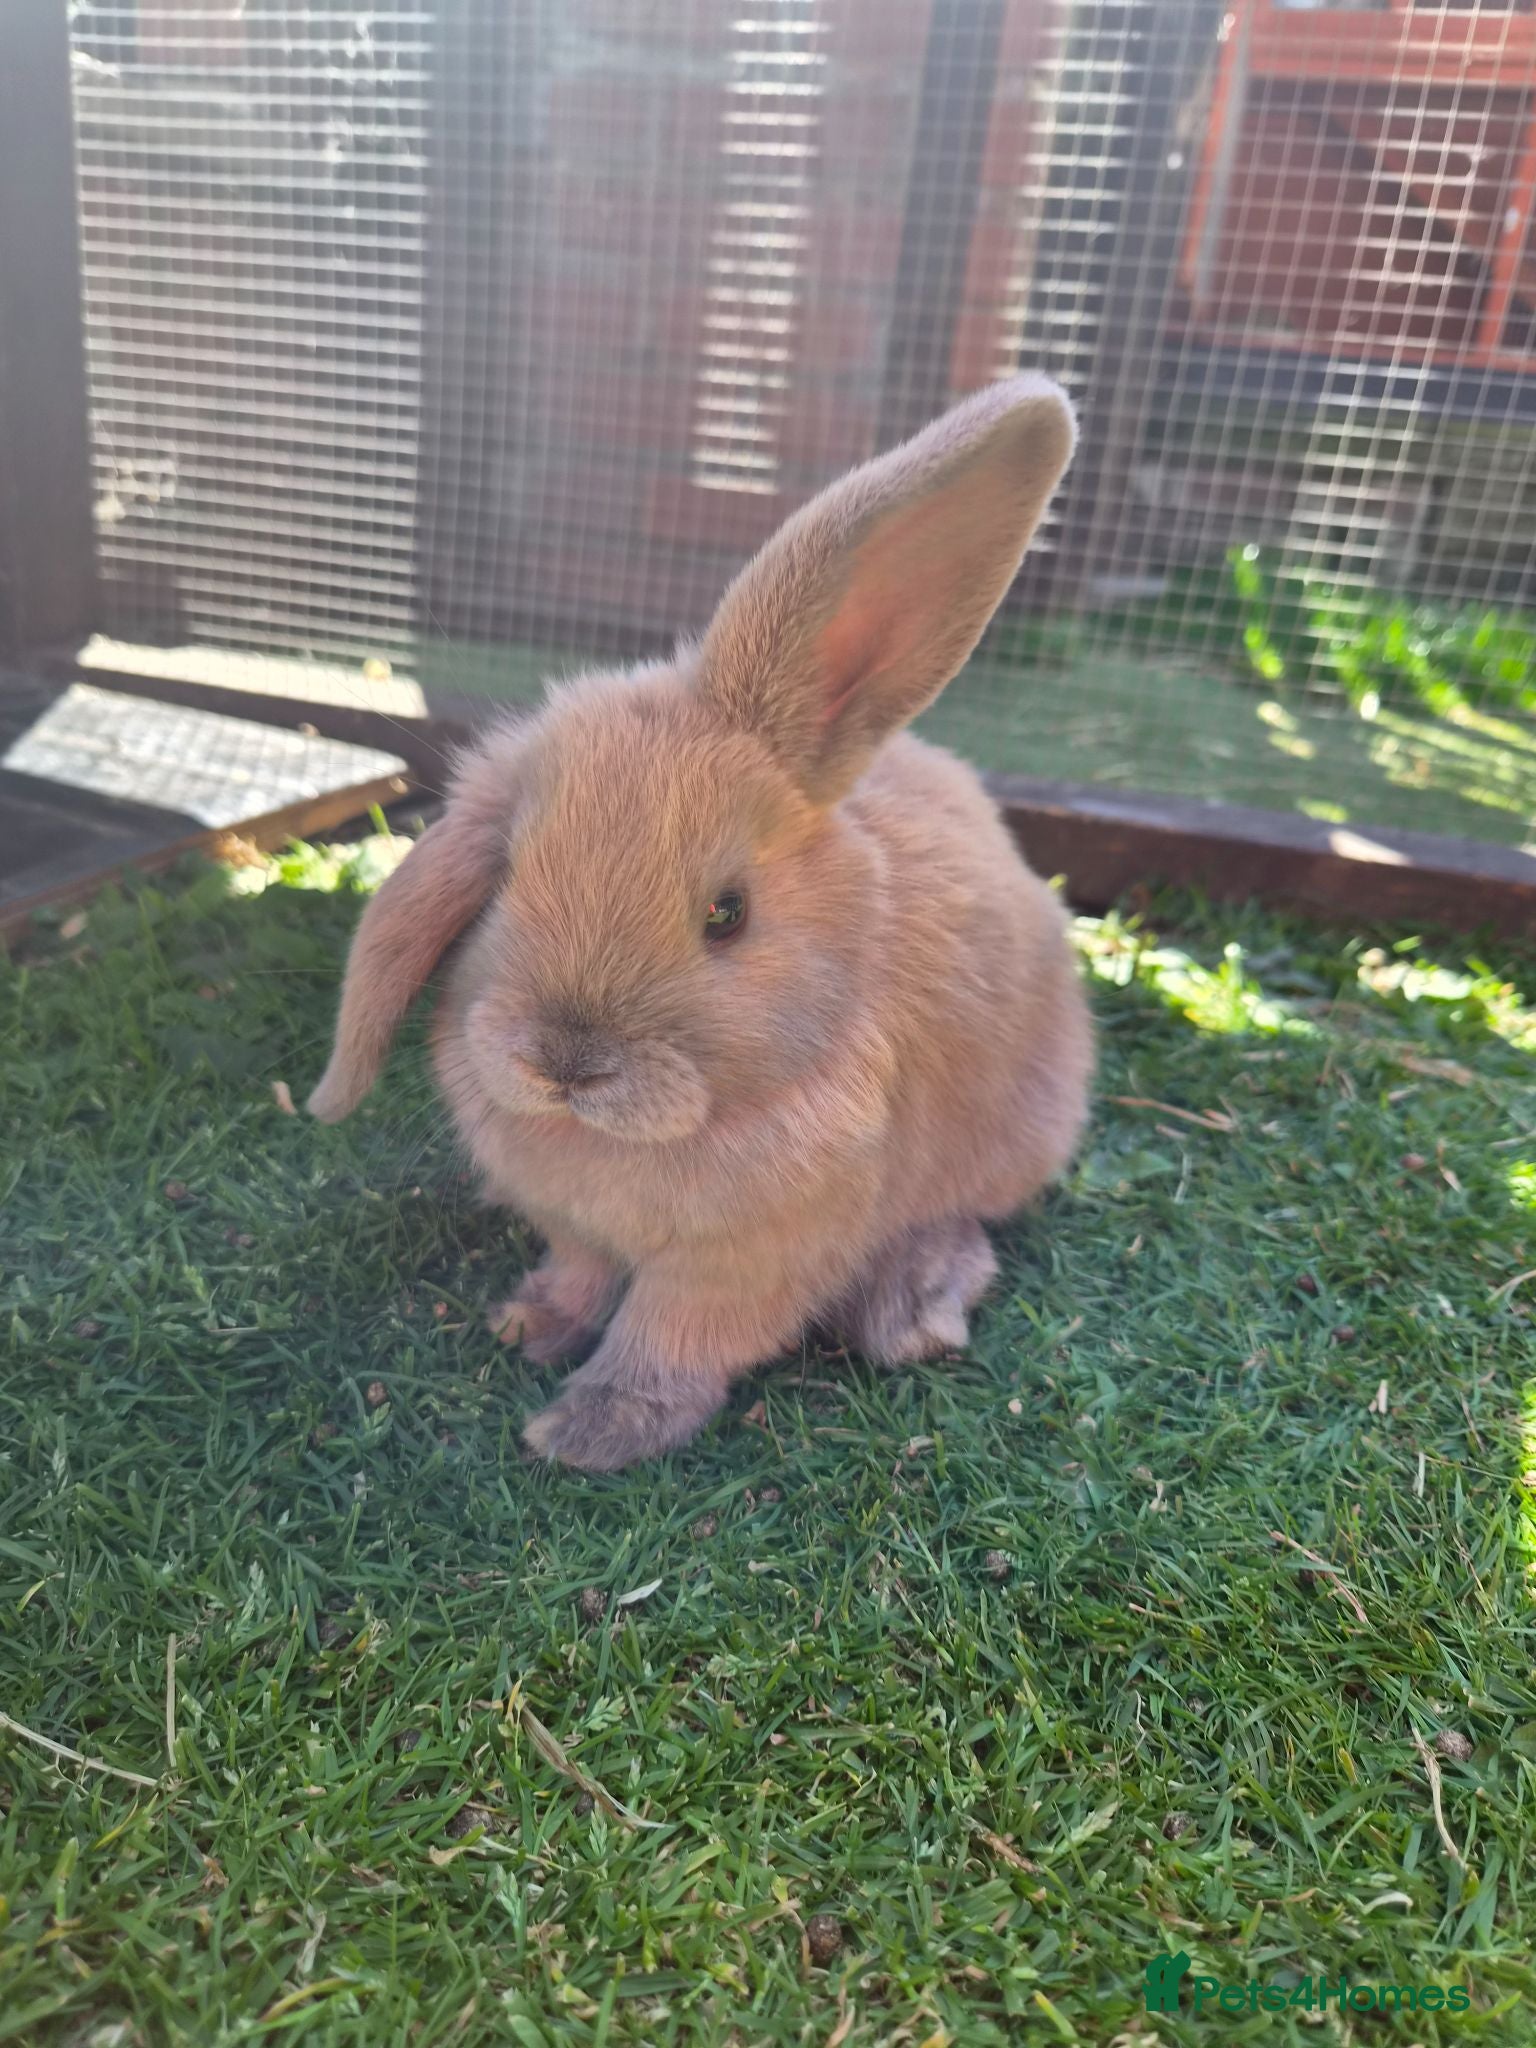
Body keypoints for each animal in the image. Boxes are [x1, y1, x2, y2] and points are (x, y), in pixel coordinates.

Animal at [308, 374, 1093, 1471]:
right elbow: (583, 1274)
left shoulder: (744, 1263)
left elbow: (670, 1335)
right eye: (506, 878)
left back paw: (911, 1309)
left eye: (728, 914)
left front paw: (589, 1429)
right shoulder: (574, 1226)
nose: (565, 1062)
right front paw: (531, 1322)